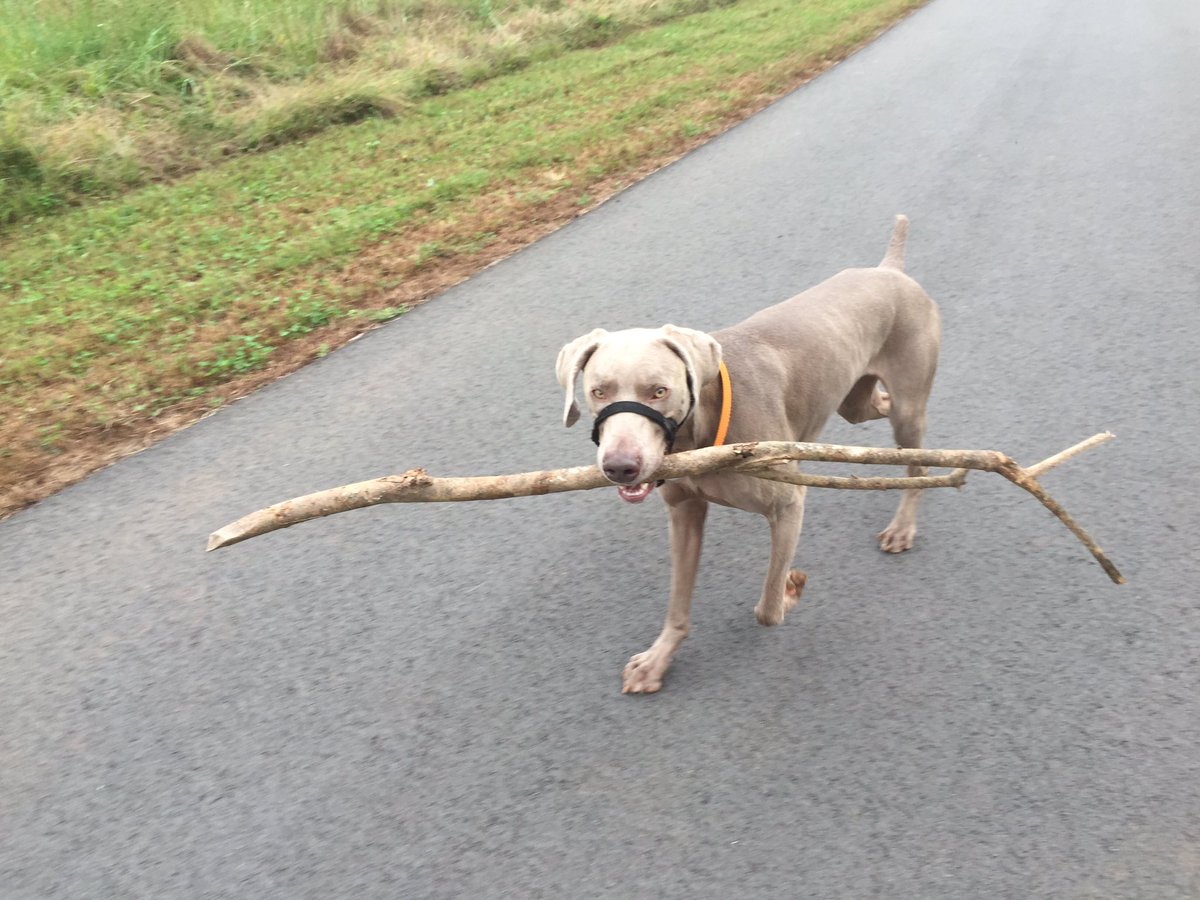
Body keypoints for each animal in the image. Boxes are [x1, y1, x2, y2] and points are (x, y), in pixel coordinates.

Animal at [552, 214, 936, 696]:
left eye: (659, 391)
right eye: (598, 391)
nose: (621, 467)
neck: (696, 437)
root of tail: (890, 269)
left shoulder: (788, 505)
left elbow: (767, 609)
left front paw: (790, 588)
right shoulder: (684, 512)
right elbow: (678, 602)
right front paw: (658, 659)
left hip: (906, 399)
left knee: (916, 454)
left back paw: (903, 525)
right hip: (854, 402)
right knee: (879, 406)